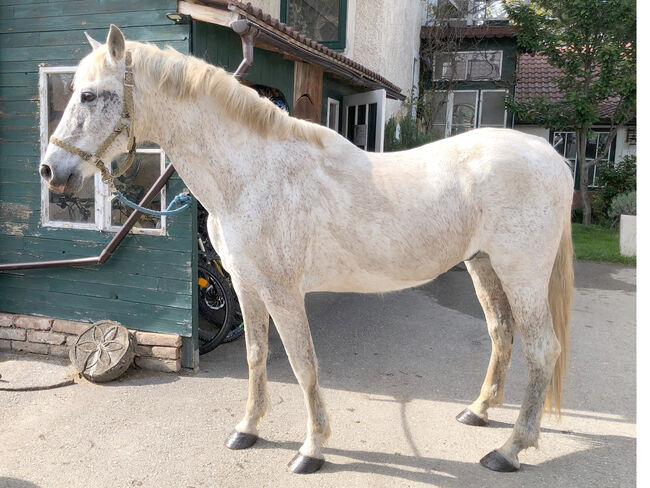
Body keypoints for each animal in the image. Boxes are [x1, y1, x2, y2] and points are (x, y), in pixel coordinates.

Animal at [40, 25, 568, 472]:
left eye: (89, 94)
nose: (50, 171)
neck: (253, 174)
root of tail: (551, 157)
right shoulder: (247, 287)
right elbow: (256, 356)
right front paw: (247, 429)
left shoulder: (283, 291)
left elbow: (304, 366)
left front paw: (312, 449)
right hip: (484, 267)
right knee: (502, 334)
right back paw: (479, 412)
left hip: (522, 275)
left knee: (543, 351)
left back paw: (509, 450)